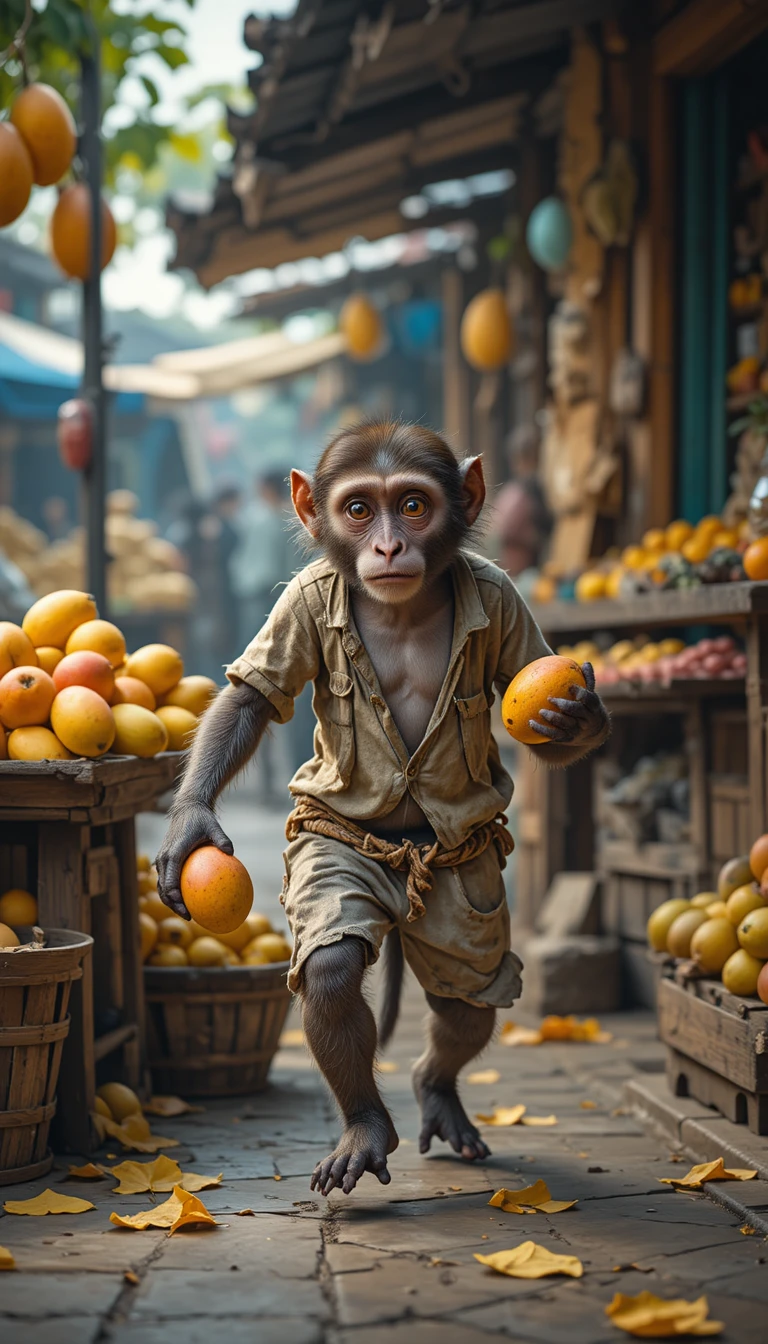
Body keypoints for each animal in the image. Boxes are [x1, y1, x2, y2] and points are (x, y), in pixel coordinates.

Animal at [156, 420, 609, 1197]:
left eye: (414, 506)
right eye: (360, 509)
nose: (390, 546)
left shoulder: (505, 598)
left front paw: (579, 718)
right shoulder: (302, 601)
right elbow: (251, 698)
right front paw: (190, 823)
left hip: (468, 904)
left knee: (466, 998)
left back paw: (435, 1089)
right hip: (344, 858)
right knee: (339, 968)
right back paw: (366, 1129)